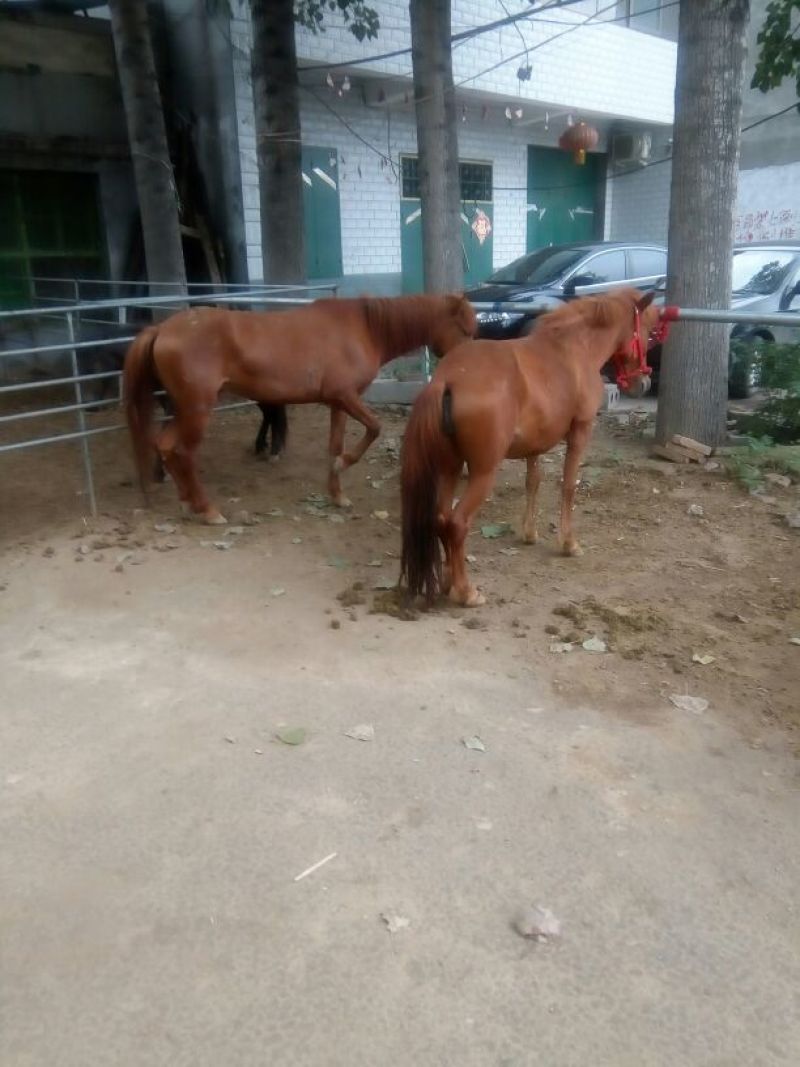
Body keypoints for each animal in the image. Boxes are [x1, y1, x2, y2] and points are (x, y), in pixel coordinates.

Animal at [123, 293, 477, 523]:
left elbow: (335, 446)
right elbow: (373, 429)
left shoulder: (338, 402)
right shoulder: (346, 396)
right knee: (181, 451)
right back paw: (208, 510)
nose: (466, 367)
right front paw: (344, 465)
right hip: (197, 409)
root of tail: (162, 329)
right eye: (465, 329)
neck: (363, 327)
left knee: (164, 446)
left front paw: (337, 495)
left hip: (183, 409)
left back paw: (187, 503)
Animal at [400, 288, 660, 607]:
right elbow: (568, 486)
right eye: (647, 331)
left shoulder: (534, 445)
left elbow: (532, 482)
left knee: (441, 519)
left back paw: (450, 583)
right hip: (482, 473)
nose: (643, 382)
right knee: (457, 523)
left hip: (450, 467)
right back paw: (466, 592)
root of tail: (447, 379)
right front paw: (569, 543)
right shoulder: (581, 432)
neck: (573, 350)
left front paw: (529, 533)